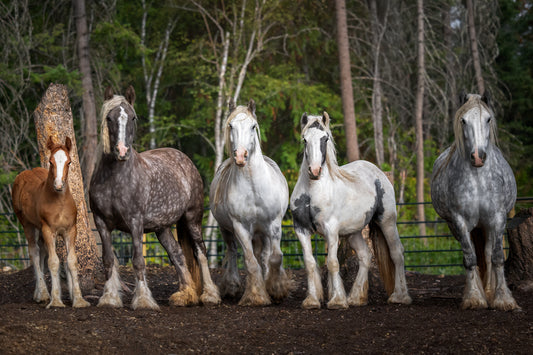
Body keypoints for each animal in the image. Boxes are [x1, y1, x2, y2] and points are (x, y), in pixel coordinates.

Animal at [11, 136, 90, 308]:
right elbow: (53, 262)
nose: (59, 185)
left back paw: (38, 293)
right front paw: (56, 301)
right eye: (50, 161)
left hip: (39, 229)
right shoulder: (48, 230)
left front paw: (78, 299)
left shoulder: (70, 230)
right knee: (34, 253)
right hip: (28, 225)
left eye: (69, 162)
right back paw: (42, 294)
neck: (59, 202)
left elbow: (71, 261)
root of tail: (24, 174)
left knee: (41, 252)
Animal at [90, 86, 219, 312]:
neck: (114, 179)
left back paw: (210, 294)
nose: (122, 151)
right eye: (109, 118)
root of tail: (185, 159)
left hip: (192, 218)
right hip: (163, 227)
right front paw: (109, 298)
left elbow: (138, 261)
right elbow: (108, 260)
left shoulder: (135, 222)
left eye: (132, 117)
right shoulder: (101, 223)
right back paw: (185, 295)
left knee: (200, 251)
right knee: (177, 254)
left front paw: (143, 300)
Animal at [209, 99, 290, 306]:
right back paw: (232, 286)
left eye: (253, 126)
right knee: (232, 251)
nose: (240, 156)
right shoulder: (240, 228)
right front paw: (256, 295)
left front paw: (277, 289)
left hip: (263, 232)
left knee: (265, 256)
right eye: (231, 125)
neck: (254, 187)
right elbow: (250, 262)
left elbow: (275, 257)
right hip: (227, 230)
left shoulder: (274, 224)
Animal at [290, 112, 412, 310]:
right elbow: (309, 263)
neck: (312, 191)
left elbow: (332, 263)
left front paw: (337, 301)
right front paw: (312, 300)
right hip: (353, 232)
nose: (314, 171)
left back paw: (400, 296)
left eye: (325, 138)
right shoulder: (301, 229)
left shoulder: (331, 230)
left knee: (397, 253)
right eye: (305, 139)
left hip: (387, 221)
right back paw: (356, 298)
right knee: (365, 256)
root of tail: (377, 172)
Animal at [430, 92, 516, 312]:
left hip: (486, 226)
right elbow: (470, 258)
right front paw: (474, 298)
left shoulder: (498, 218)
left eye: (488, 119)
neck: (478, 178)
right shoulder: (459, 221)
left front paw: (503, 299)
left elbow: (496, 257)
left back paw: (489, 291)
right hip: (459, 227)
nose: (478, 157)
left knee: (487, 253)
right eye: (463, 120)